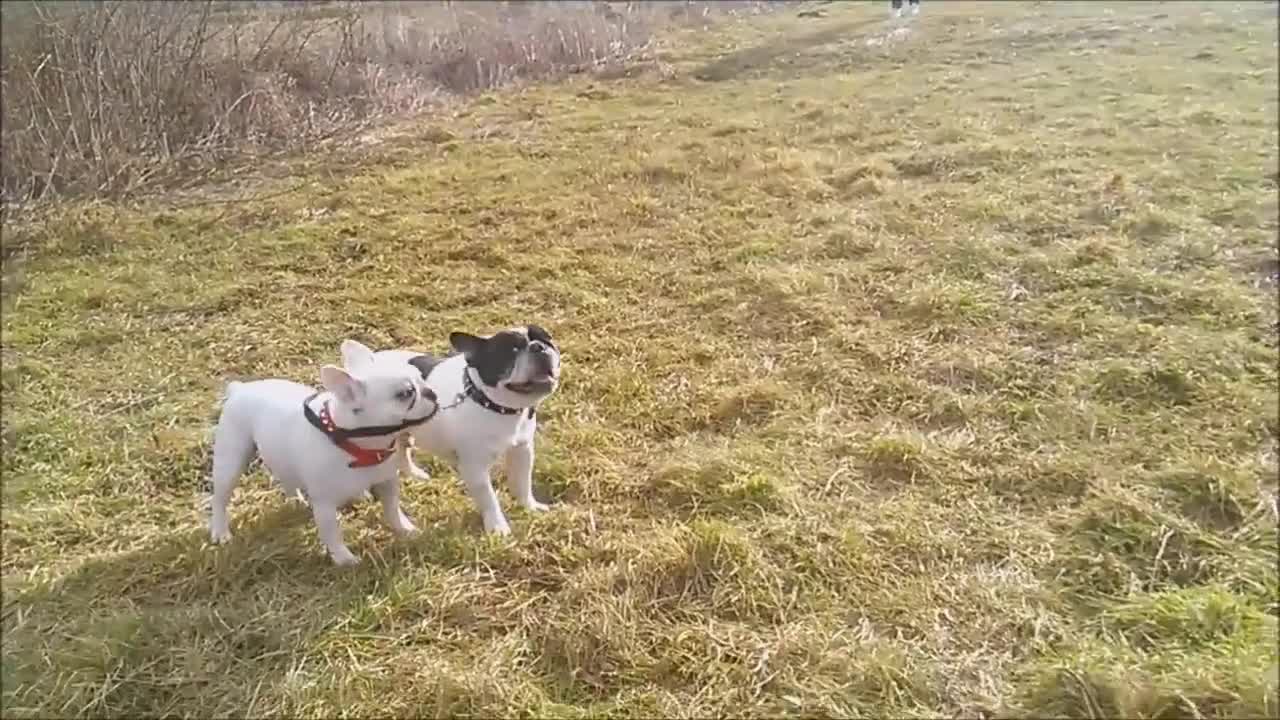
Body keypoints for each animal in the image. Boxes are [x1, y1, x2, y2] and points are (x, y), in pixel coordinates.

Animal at [209, 338, 440, 563]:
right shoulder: (325, 504)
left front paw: (406, 529)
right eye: (406, 394)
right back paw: (220, 532)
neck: (355, 445)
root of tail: (240, 389)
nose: (431, 392)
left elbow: (393, 509)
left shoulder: (387, 482)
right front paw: (345, 560)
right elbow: (332, 534)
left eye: (422, 378)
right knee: (220, 498)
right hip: (231, 460)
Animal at [358, 324, 563, 532]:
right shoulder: (475, 468)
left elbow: (523, 482)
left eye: (547, 340)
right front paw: (497, 527)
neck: (492, 404)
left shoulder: (522, 451)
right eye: (512, 350)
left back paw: (414, 474)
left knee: (402, 447)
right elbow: (489, 498)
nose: (539, 347)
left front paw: (529, 506)